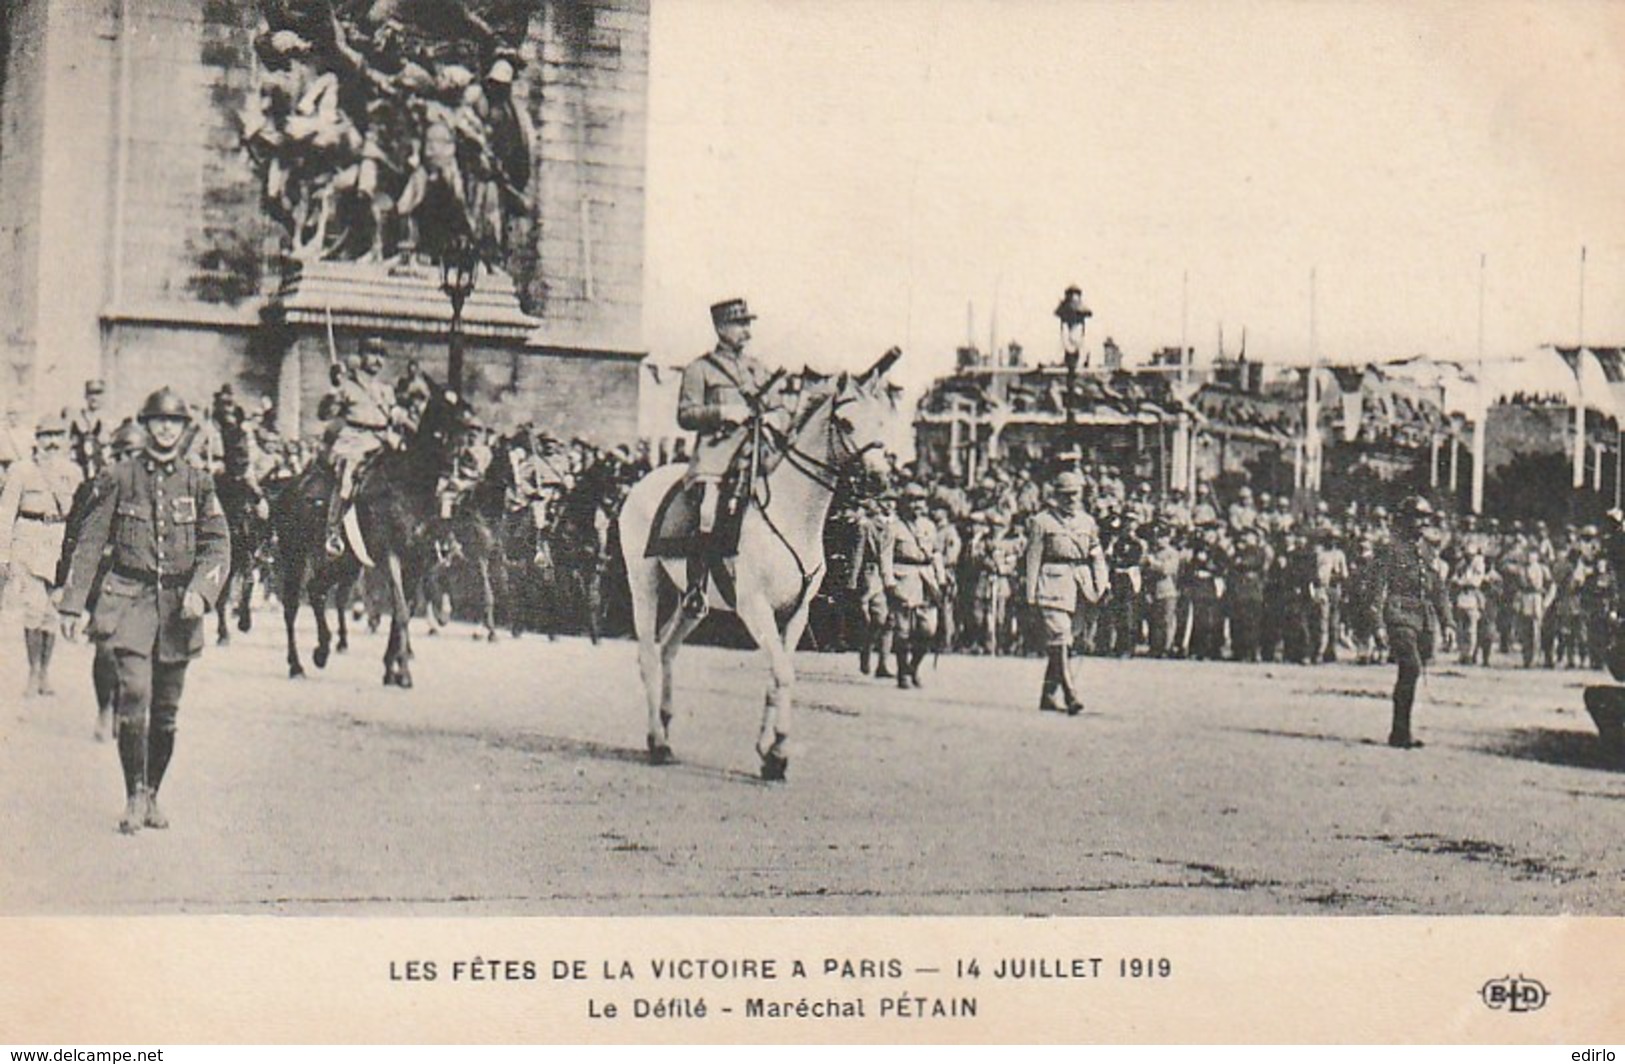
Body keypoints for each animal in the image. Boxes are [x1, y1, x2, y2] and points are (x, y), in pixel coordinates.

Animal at [273, 386, 474, 685]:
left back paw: (323, 650)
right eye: (447, 420)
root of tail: (291, 485)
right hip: (295, 558)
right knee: (292, 606)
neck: (408, 487)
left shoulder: (416, 561)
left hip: (345, 563)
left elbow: (405, 610)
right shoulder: (391, 557)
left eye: (468, 420)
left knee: (317, 590)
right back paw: (296, 665)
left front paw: (392, 667)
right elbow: (400, 609)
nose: (465, 463)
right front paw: (402, 671)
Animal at [617, 354, 903, 779]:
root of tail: (642, 482)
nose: (880, 480)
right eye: (847, 422)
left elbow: (778, 675)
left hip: (691, 600)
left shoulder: (797, 613)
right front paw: (780, 751)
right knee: (648, 655)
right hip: (644, 583)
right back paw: (657, 740)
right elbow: (782, 673)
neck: (790, 512)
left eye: (881, 422)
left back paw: (666, 727)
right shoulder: (755, 607)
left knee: (668, 648)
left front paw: (767, 752)